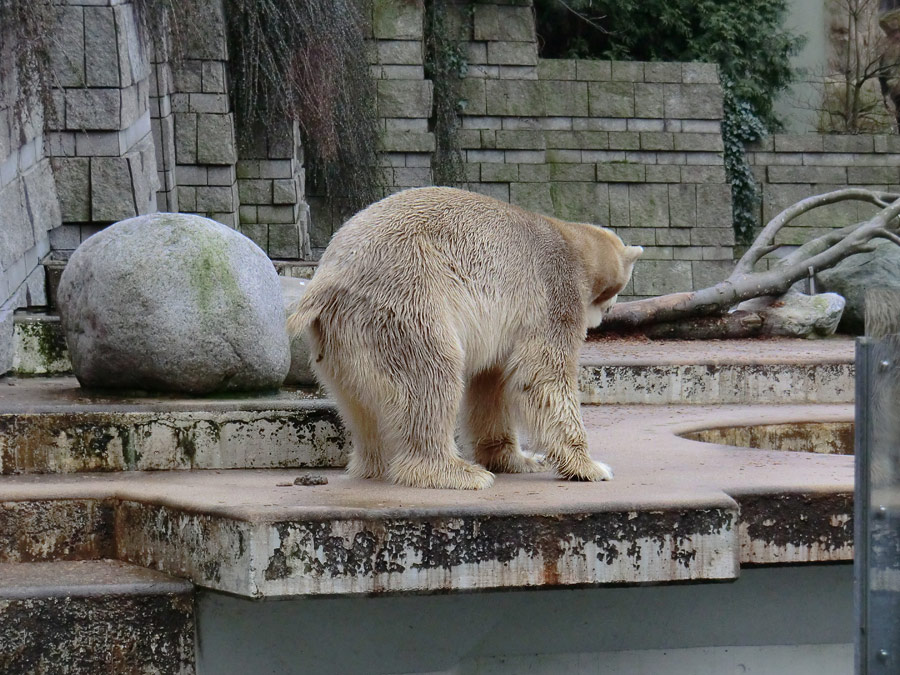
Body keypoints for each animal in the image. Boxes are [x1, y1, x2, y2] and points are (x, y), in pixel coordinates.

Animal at [288, 187, 640, 488]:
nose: (609, 311)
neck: (572, 242)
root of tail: (327, 276)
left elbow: (491, 382)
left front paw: (522, 459)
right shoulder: (554, 291)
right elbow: (543, 375)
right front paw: (591, 467)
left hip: (339, 340)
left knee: (359, 403)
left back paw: (373, 464)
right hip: (405, 298)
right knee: (432, 374)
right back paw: (457, 471)